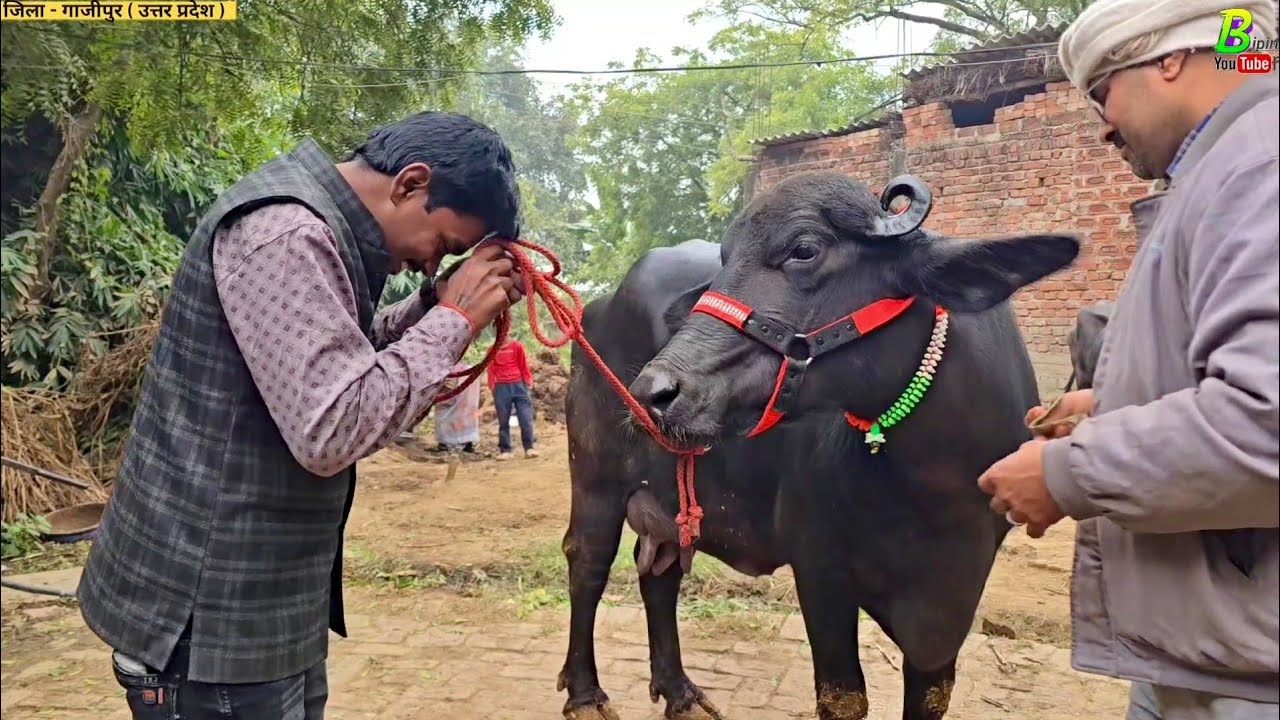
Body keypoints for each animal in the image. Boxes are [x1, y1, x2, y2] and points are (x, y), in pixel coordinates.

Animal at [559, 170, 1080, 720]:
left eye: (804, 249)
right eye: (726, 257)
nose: (653, 392)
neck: (930, 487)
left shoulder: (955, 597)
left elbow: (931, 695)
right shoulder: (821, 574)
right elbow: (844, 696)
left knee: (660, 575)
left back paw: (680, 692)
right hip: (595, 480)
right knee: (588, 562)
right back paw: (586, 695)